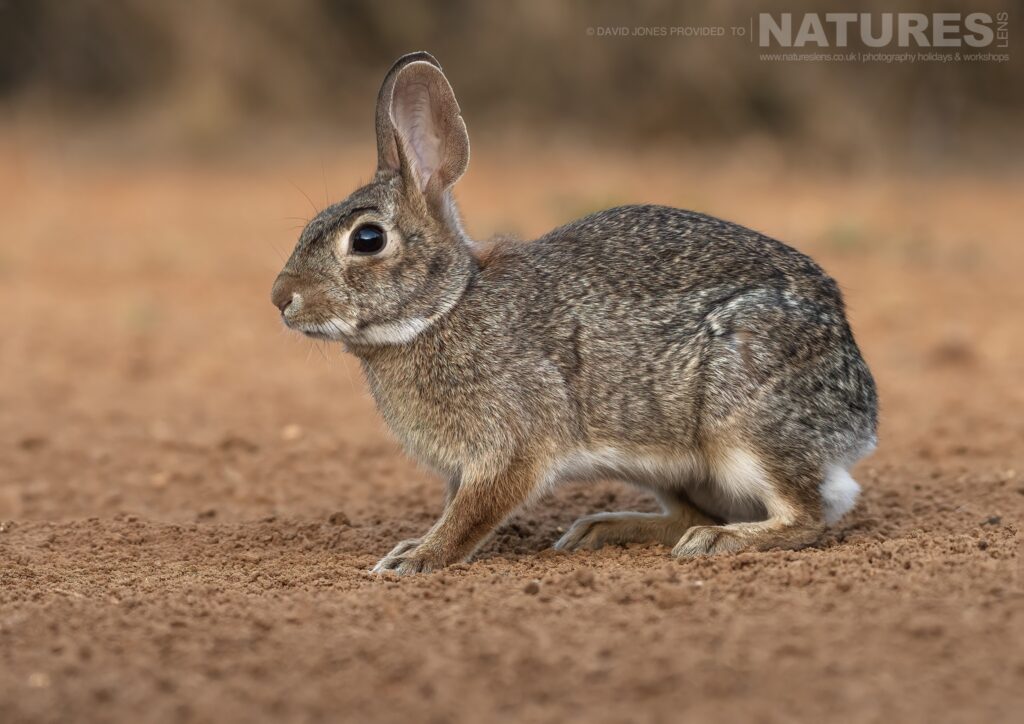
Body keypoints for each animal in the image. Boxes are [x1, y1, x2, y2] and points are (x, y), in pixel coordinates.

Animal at [272, 50, 880, 573]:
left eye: (367, 239)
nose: (281, 298)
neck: (445, 307)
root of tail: (861, 414)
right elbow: (453, 506)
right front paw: (411, 545)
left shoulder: (512, 446)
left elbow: (472, 514)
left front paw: (417, 558)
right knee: (694, 511)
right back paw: (603, 528)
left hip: (744, 426)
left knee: (807, 514)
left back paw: (713, 541)